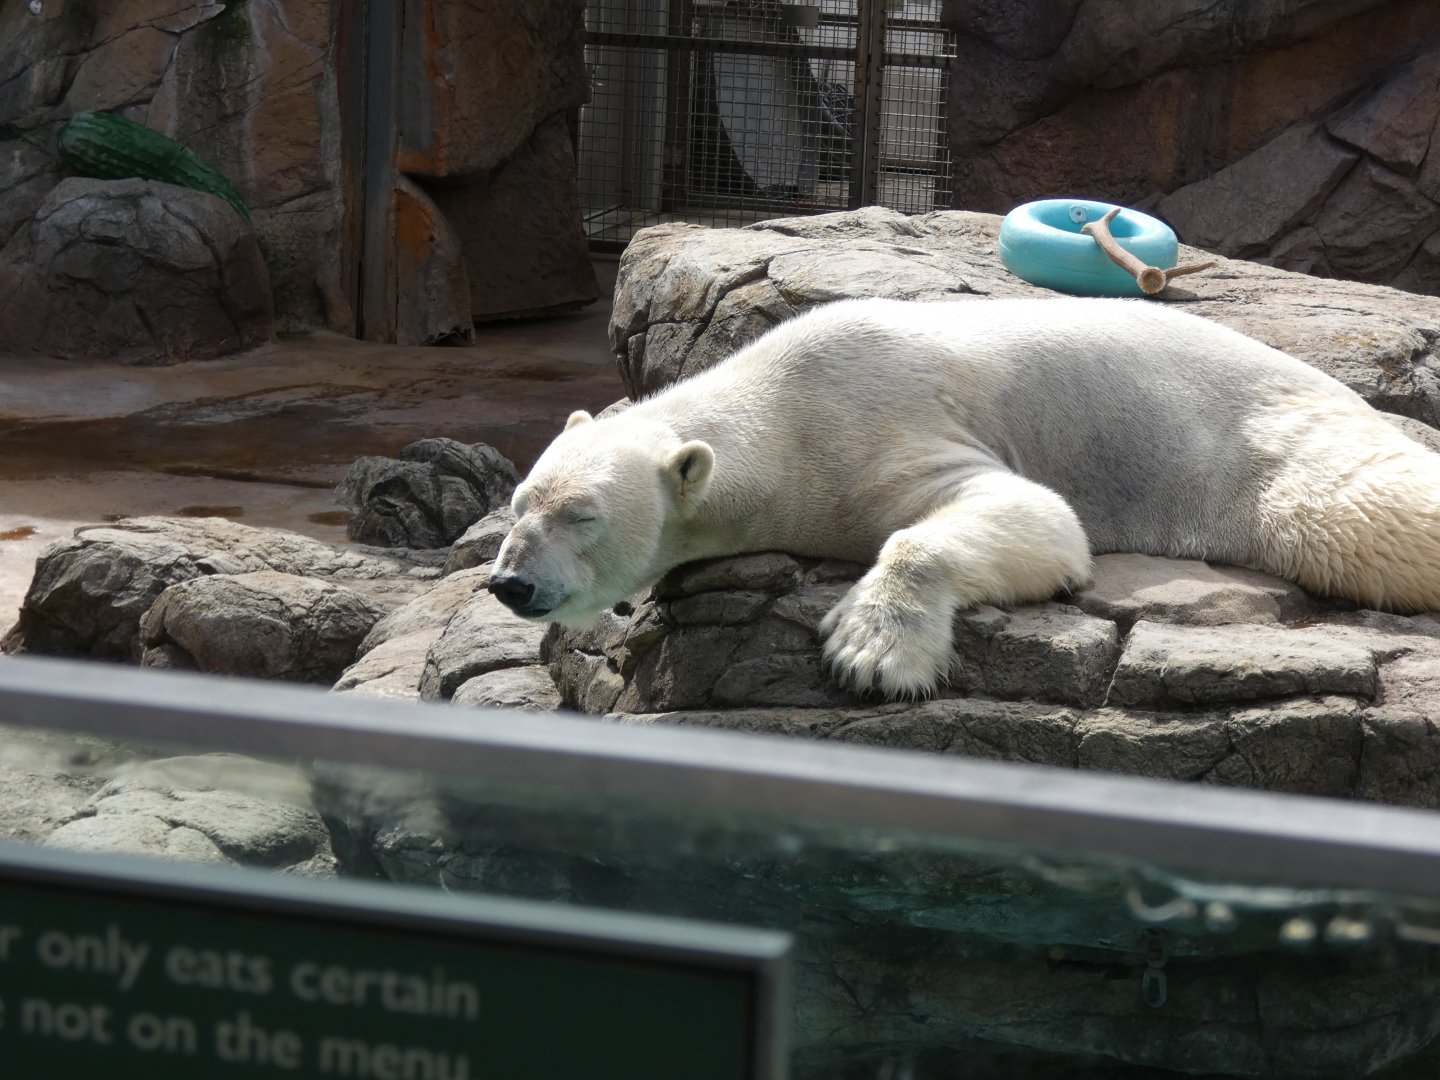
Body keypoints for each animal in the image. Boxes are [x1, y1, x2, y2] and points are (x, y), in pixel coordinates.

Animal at [489, 296, 1440, 700]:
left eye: (582, 516)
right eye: (520, 501)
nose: (509, 583)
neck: (779, 403)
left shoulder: (872, 426)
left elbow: (1033, 516)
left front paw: (872, 652)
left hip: (1273, 446)